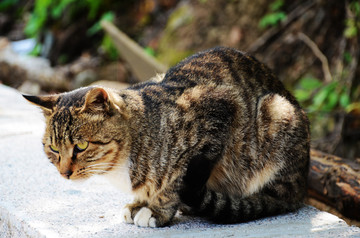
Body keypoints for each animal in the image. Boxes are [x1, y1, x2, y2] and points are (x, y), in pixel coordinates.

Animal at [23, 46, 310, 227]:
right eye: (53, 149)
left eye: (81, 145)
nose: (64, 173)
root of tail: (301, 187)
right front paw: (140, 203)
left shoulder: (218, 111)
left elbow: (174, 181)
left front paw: (157, 211)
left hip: (276, 112)